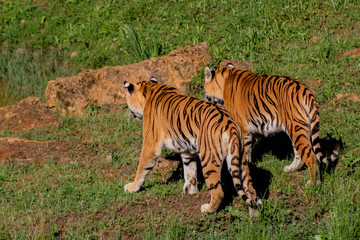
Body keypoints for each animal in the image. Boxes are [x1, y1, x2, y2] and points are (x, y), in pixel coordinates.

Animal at [123, 77, 262, 219]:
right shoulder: (187, 149)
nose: (130, 114)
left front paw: (132, 187)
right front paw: (191, 191)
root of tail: (231, 125)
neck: (151, 90)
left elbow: (142, 168)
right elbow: (190, 170)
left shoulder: (150, 144)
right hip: (241, 159)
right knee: (251, 191)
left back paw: (208, 209)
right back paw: (255, 216)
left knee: (218, 191)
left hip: (209, 159)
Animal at [204, 63, 338, 184]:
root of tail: (307, 91)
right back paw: (291, 169)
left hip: (296, 128)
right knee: (299, 153)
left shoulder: (242, 128)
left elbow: (245, 150)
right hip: (297, 130)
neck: (227, 76)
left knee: (311, 157)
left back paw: (313, 184)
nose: (205, 98)